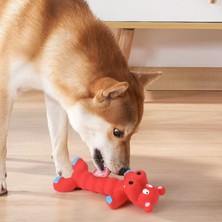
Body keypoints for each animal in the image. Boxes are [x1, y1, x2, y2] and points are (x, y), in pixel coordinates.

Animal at [0, 0, 160, 194]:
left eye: (133, 134)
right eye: (117, 132)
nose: (124, 170)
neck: (48, 34)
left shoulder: (55, 96)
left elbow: (60, 142)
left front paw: (69, 175)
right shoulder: (4, 90)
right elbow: (2, 144)